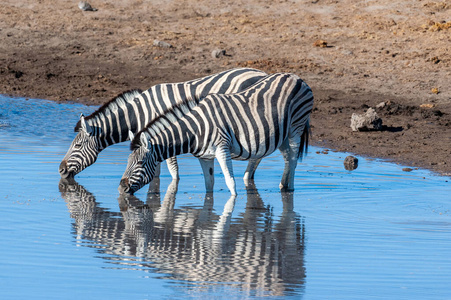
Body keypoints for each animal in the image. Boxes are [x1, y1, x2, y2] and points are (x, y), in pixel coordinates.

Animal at [58, 67, 266, 179]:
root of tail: (260, 72)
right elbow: (155, 170)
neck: (138, 113)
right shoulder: (149, 140)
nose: (60, 170)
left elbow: (173, 170)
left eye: (77, 145)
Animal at [119, 72, 314, 195]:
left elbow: (230, 182)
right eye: (127, 161)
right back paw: (283, 185)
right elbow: (209, 184)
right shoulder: (205, 157)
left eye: (140, 163)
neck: (195, 130)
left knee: (294, 158)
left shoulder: (222, 149)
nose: (121, 188)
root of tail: (296, 77)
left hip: (296, 126)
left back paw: (290, 188)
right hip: (281, 133)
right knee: (288, 157)